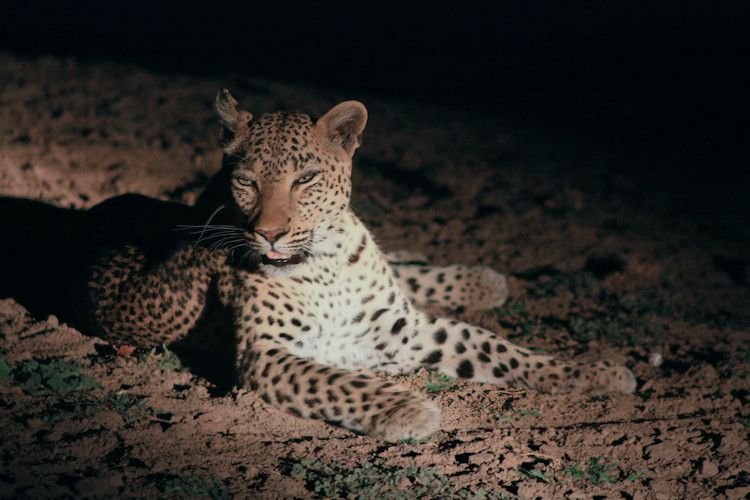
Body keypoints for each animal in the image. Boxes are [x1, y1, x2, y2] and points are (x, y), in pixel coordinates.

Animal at [1, 90, 636, 441]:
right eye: (247, 180)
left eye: (305, 178)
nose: (270, 232)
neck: (328, 262)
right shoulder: (267, 356)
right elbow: (343, 382)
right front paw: (410, 409)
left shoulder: (404, 327)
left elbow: (497, 347)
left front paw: (600, 374)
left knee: (410, 269)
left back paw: (483, 280)